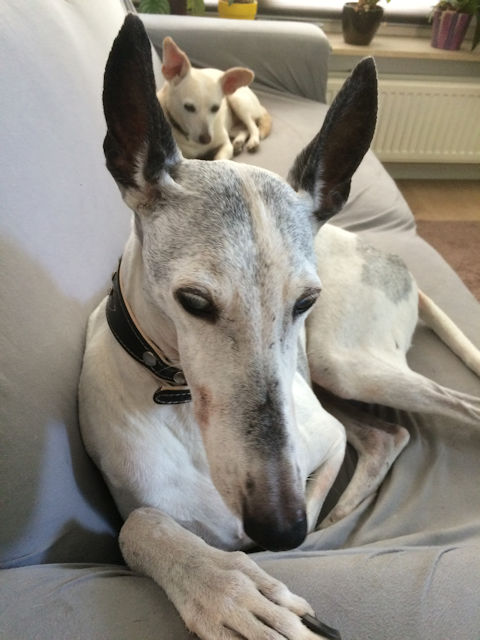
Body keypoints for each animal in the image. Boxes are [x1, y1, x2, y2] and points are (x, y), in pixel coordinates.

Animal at [79, 15, 480, 640]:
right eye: (193, 301)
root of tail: (392, 257)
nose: (278, 526)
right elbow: (139, 525)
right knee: (388, 434)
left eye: (306, 300)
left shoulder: (319, 444)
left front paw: (253, 570)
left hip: (343, 365)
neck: (176, 399)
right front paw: (227, 588)